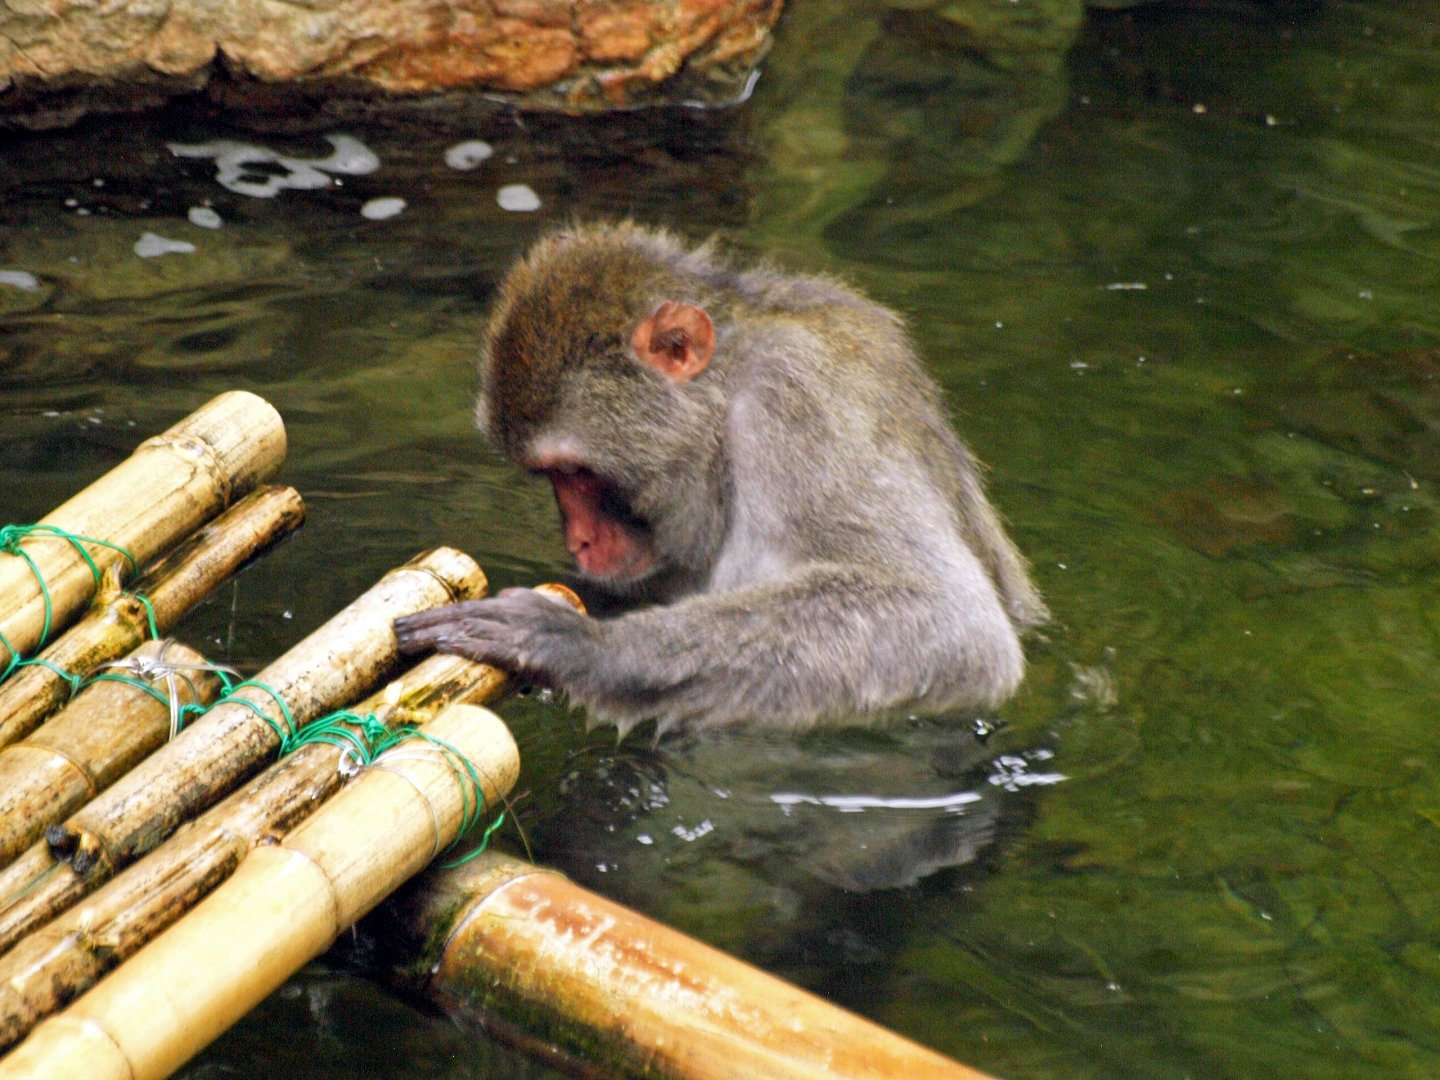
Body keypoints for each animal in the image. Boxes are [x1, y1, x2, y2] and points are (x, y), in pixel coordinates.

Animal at [395, 222, 1046, 737]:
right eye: (546, 476)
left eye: (576, 471)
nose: (577, 541)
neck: (724, 410)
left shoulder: (797, 403)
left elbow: (952, 621)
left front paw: (579, 646)